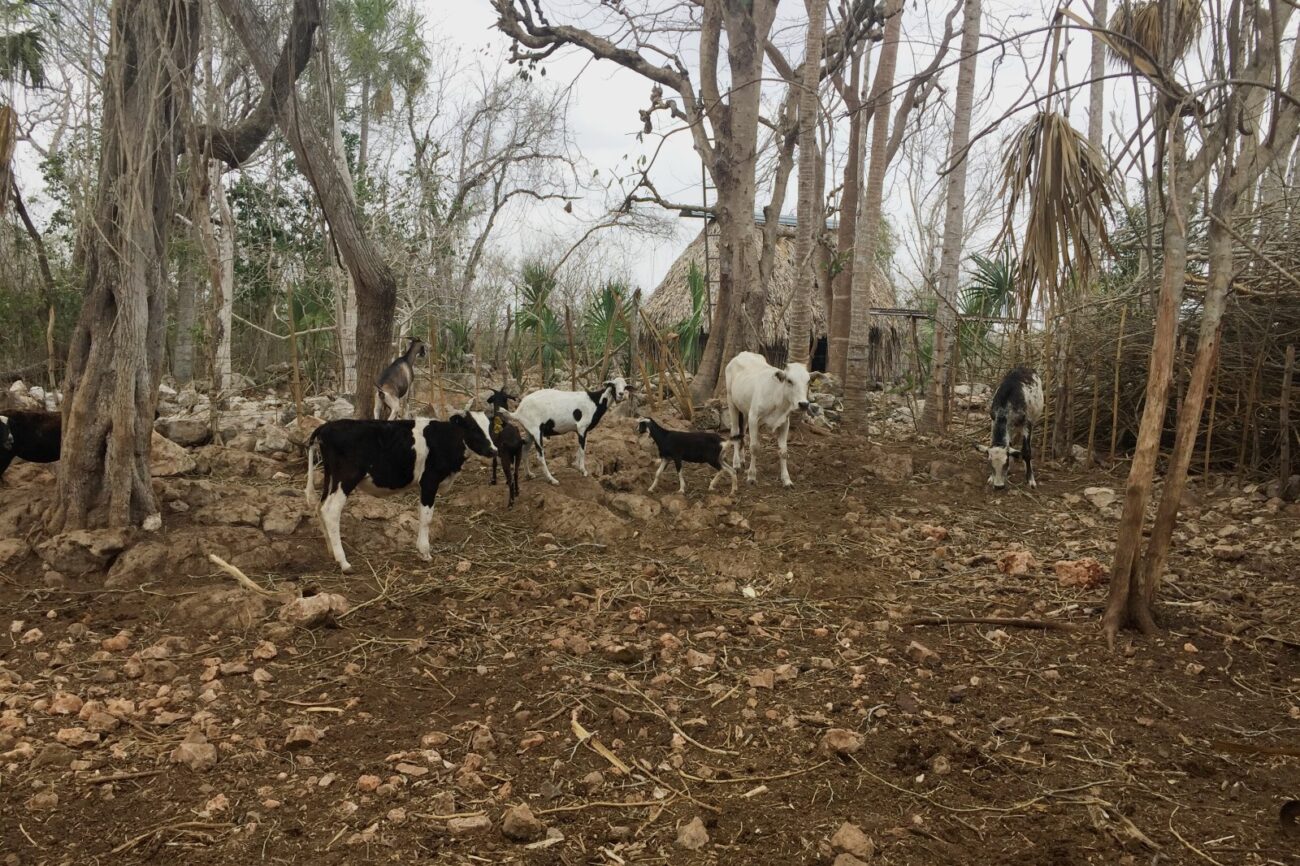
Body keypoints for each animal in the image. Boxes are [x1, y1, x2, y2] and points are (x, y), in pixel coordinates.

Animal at [305, 409, 496, 573]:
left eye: (490, 428)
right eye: (473, 428)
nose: (493, 450)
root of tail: (327, 426)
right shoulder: (429, 481)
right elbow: (426, 518)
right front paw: (425, 553)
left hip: (330, 477)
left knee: (320, 507)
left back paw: (331, 551)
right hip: (347, 477)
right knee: (331, 511)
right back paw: (343, 561)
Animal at [499, 377, 632, 486]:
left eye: (625, 386)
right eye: (613, 385)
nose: (620, 394)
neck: (595, 401)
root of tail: (518, 411)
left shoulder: (579, 430)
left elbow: (580, 449)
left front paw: (576, 466)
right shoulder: (582, 427)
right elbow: (583, 449)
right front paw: (583, 470)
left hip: (529, 431)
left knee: (525, 450)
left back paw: (529, 474)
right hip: (537, 431)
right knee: (539, 456)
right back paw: (552, 480)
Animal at [724, 352, 817, 487]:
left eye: (808, 381)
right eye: (789, 380)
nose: (803, 404)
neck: (778, 398)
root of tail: (742, 354)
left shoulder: (784, 423)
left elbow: (783, 452)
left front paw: (786, 480)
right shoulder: (754, 418)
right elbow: (754, 448)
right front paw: (751, 477)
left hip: (745, 410)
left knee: (742, 432)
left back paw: (742, 459)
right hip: (731, 401)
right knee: (735, 431)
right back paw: (736, 463)